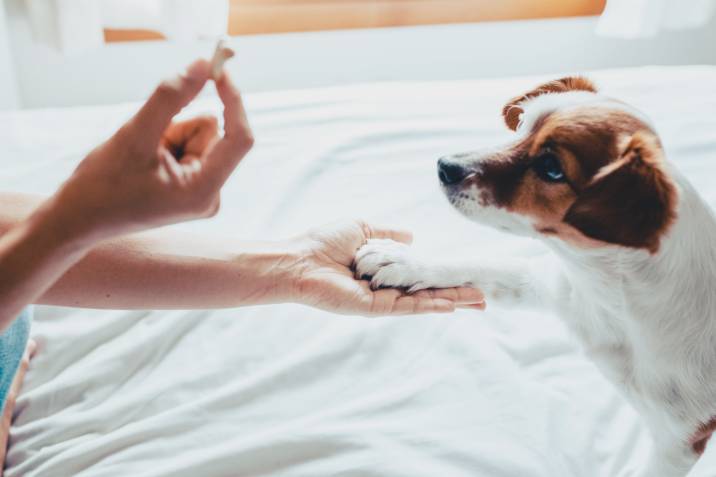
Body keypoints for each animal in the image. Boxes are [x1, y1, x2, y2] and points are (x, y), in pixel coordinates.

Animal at [356, 76, 716, 474]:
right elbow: (483, 264)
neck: (607, 288)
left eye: (551, 168)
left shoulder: (678, 440)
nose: (445, 166)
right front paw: (405, 261)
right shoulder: (553, 286)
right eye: (522, 126)